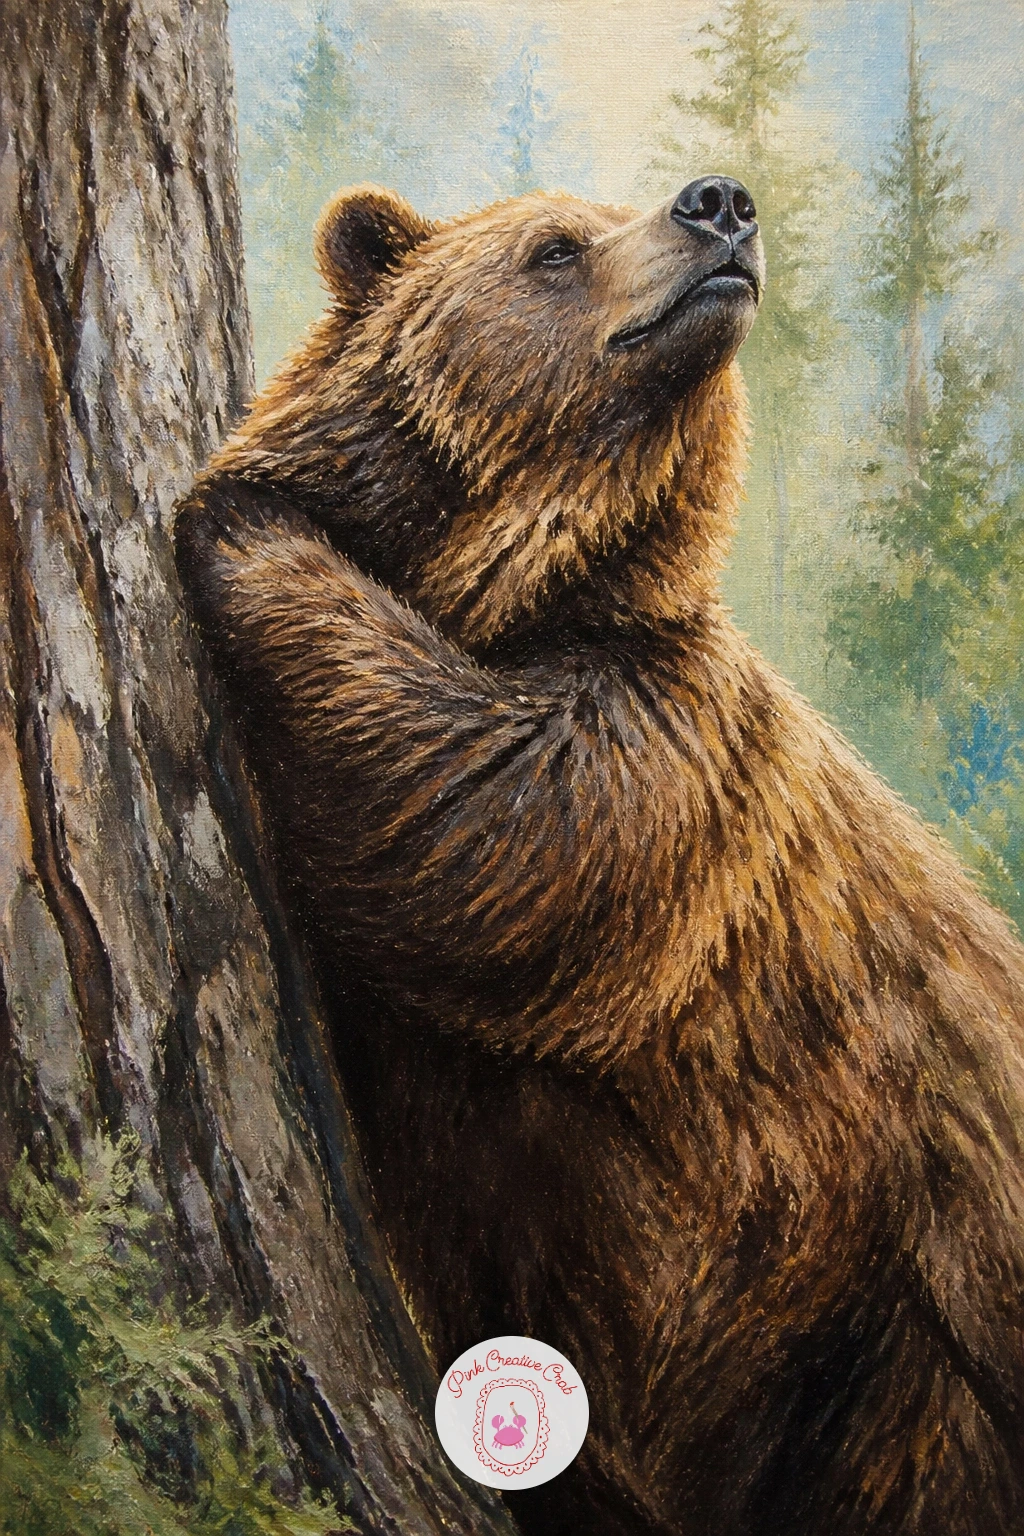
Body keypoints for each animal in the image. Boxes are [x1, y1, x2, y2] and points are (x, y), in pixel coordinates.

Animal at [174, 178, 1024, 1536]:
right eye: (555, 248)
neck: (518, 584)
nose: (718, 204)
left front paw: (237, 514)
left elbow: (490, 815)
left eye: (583, 228)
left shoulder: (668, 748)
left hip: (902, 1325)